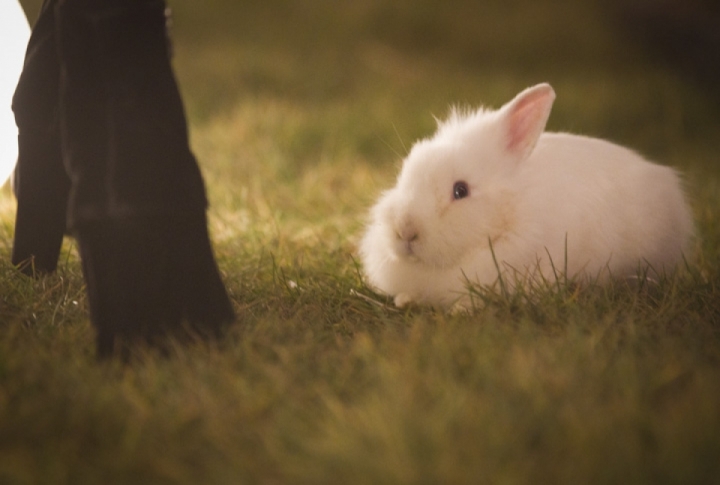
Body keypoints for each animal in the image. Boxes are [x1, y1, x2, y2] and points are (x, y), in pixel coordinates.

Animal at [362, 83, 696, 308]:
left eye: (461, 190)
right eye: (404, 174)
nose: (406, 231)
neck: (510, 214)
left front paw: (460, 311)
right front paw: (404, 300)